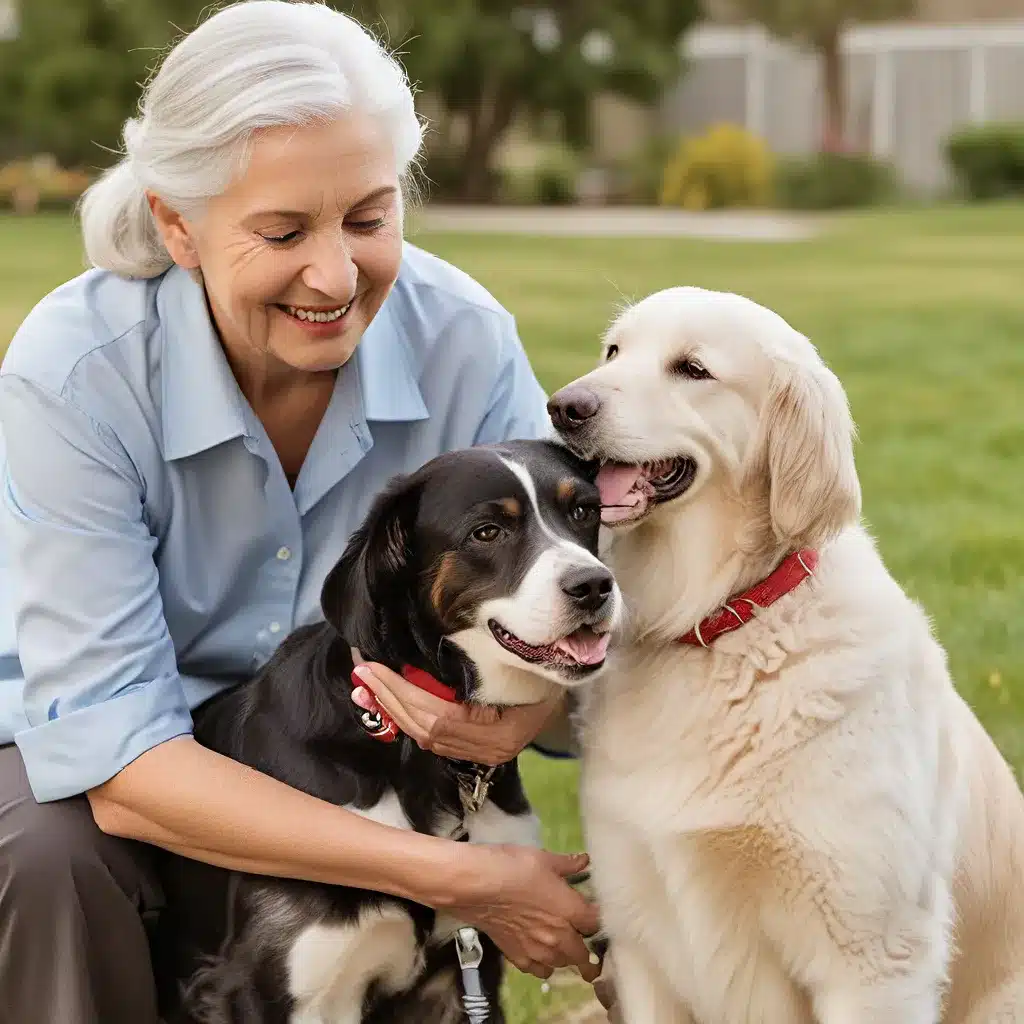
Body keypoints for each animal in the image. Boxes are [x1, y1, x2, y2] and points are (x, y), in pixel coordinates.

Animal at [162, 440, 618, 1024]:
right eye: (487, 532)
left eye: (583, 511)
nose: (594, 586)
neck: (413, 754)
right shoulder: (274, 985)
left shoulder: (464, 973)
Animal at [548, 288, 1024, 1024]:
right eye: (613, 351)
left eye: (692, 369)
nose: (564, 406)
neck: (716, 625)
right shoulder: (641, 941)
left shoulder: (872, 961)